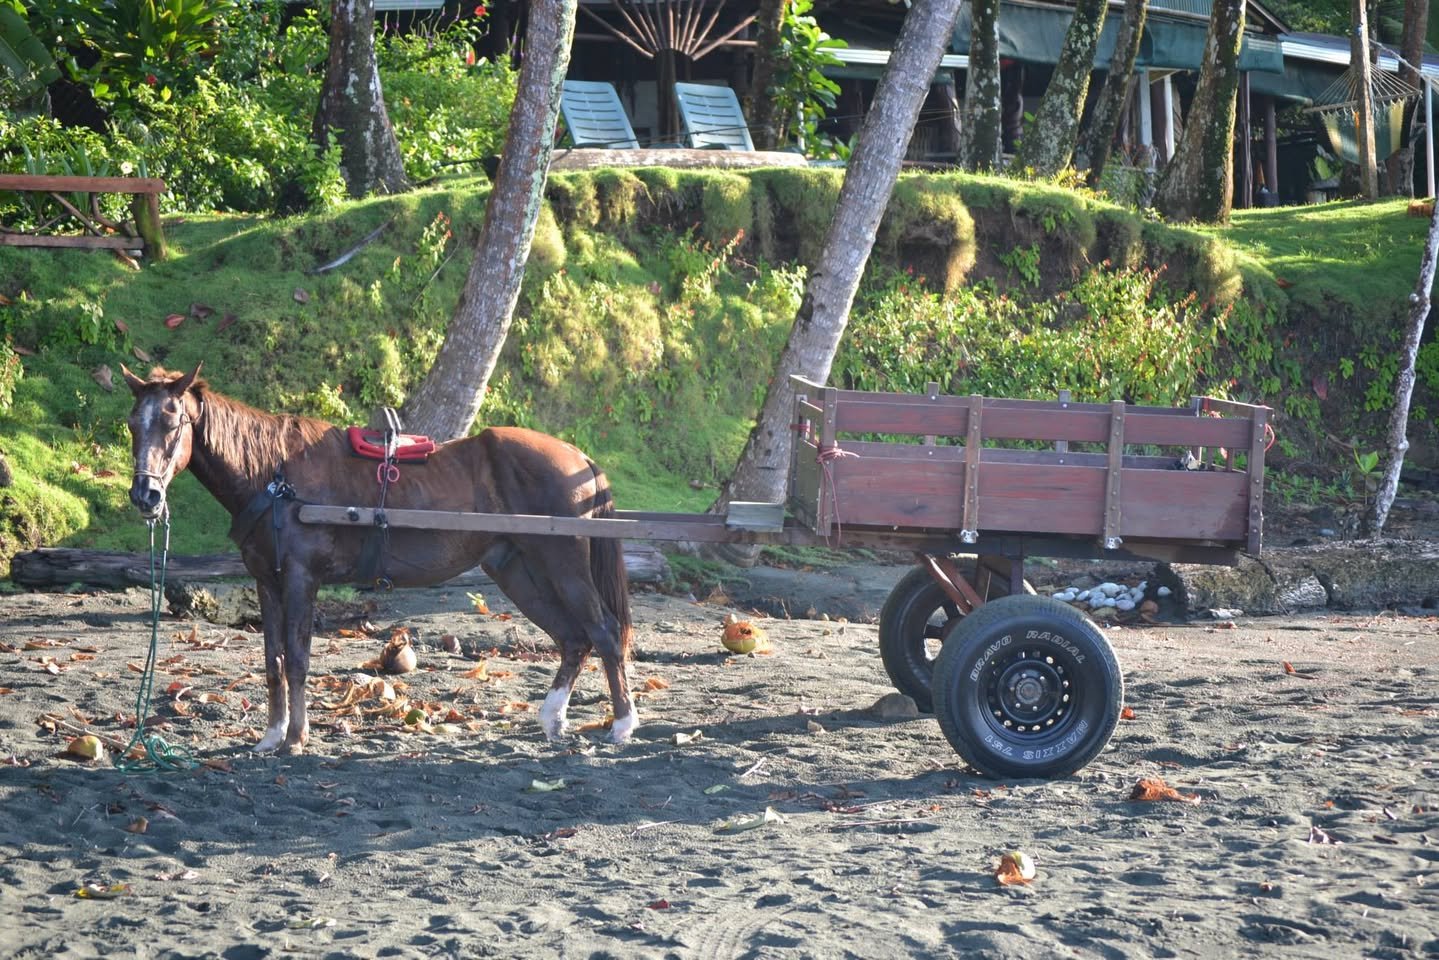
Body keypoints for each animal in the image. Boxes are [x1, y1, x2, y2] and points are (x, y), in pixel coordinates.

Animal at [122, 364, 635, 755]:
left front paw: (296, 738)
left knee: (603, 632)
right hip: (517, 571)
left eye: (172, 423)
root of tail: (578, 457)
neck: (275, 476)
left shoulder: (301, 580)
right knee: (574, 639)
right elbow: (273, 660)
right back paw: (553, 718)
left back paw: (622, 724)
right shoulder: (267, 581)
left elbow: (298, 659)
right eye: (132, 424)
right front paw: (271, 736)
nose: (146, 496)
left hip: (562, 567)